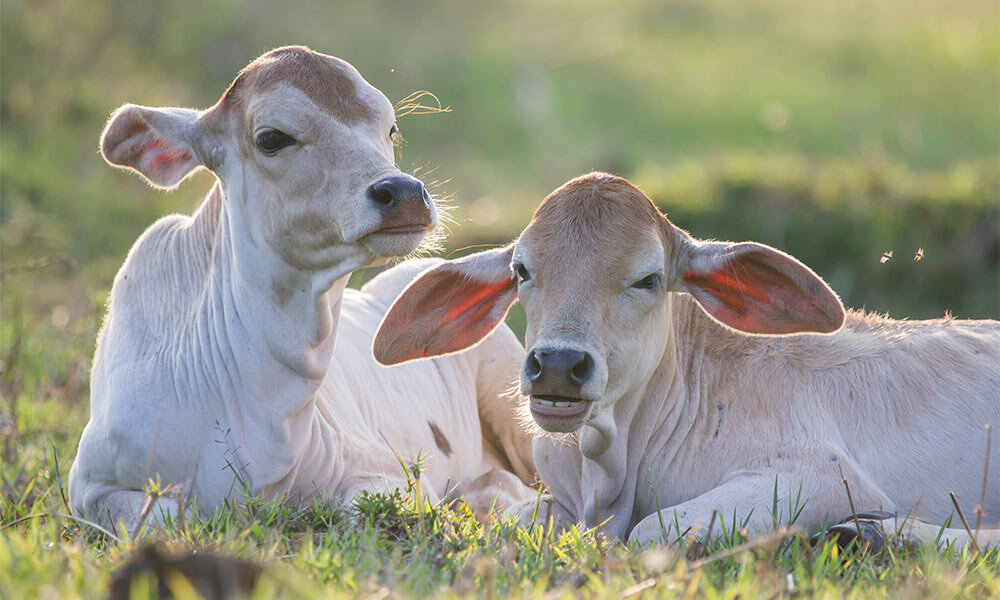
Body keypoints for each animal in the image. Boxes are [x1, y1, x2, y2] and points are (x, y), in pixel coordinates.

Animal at [66, 47, 536, 536]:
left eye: (390, 130)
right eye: (272, 138)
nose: (404, 193)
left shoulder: (385, 472)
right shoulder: (89, 485)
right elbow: (164, 516)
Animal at [376, 171, 1000, 548]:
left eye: (648, 279)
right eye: (522, 270)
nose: (556, 365)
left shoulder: (820, 476)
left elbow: (653, 531)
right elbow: (507, 520)